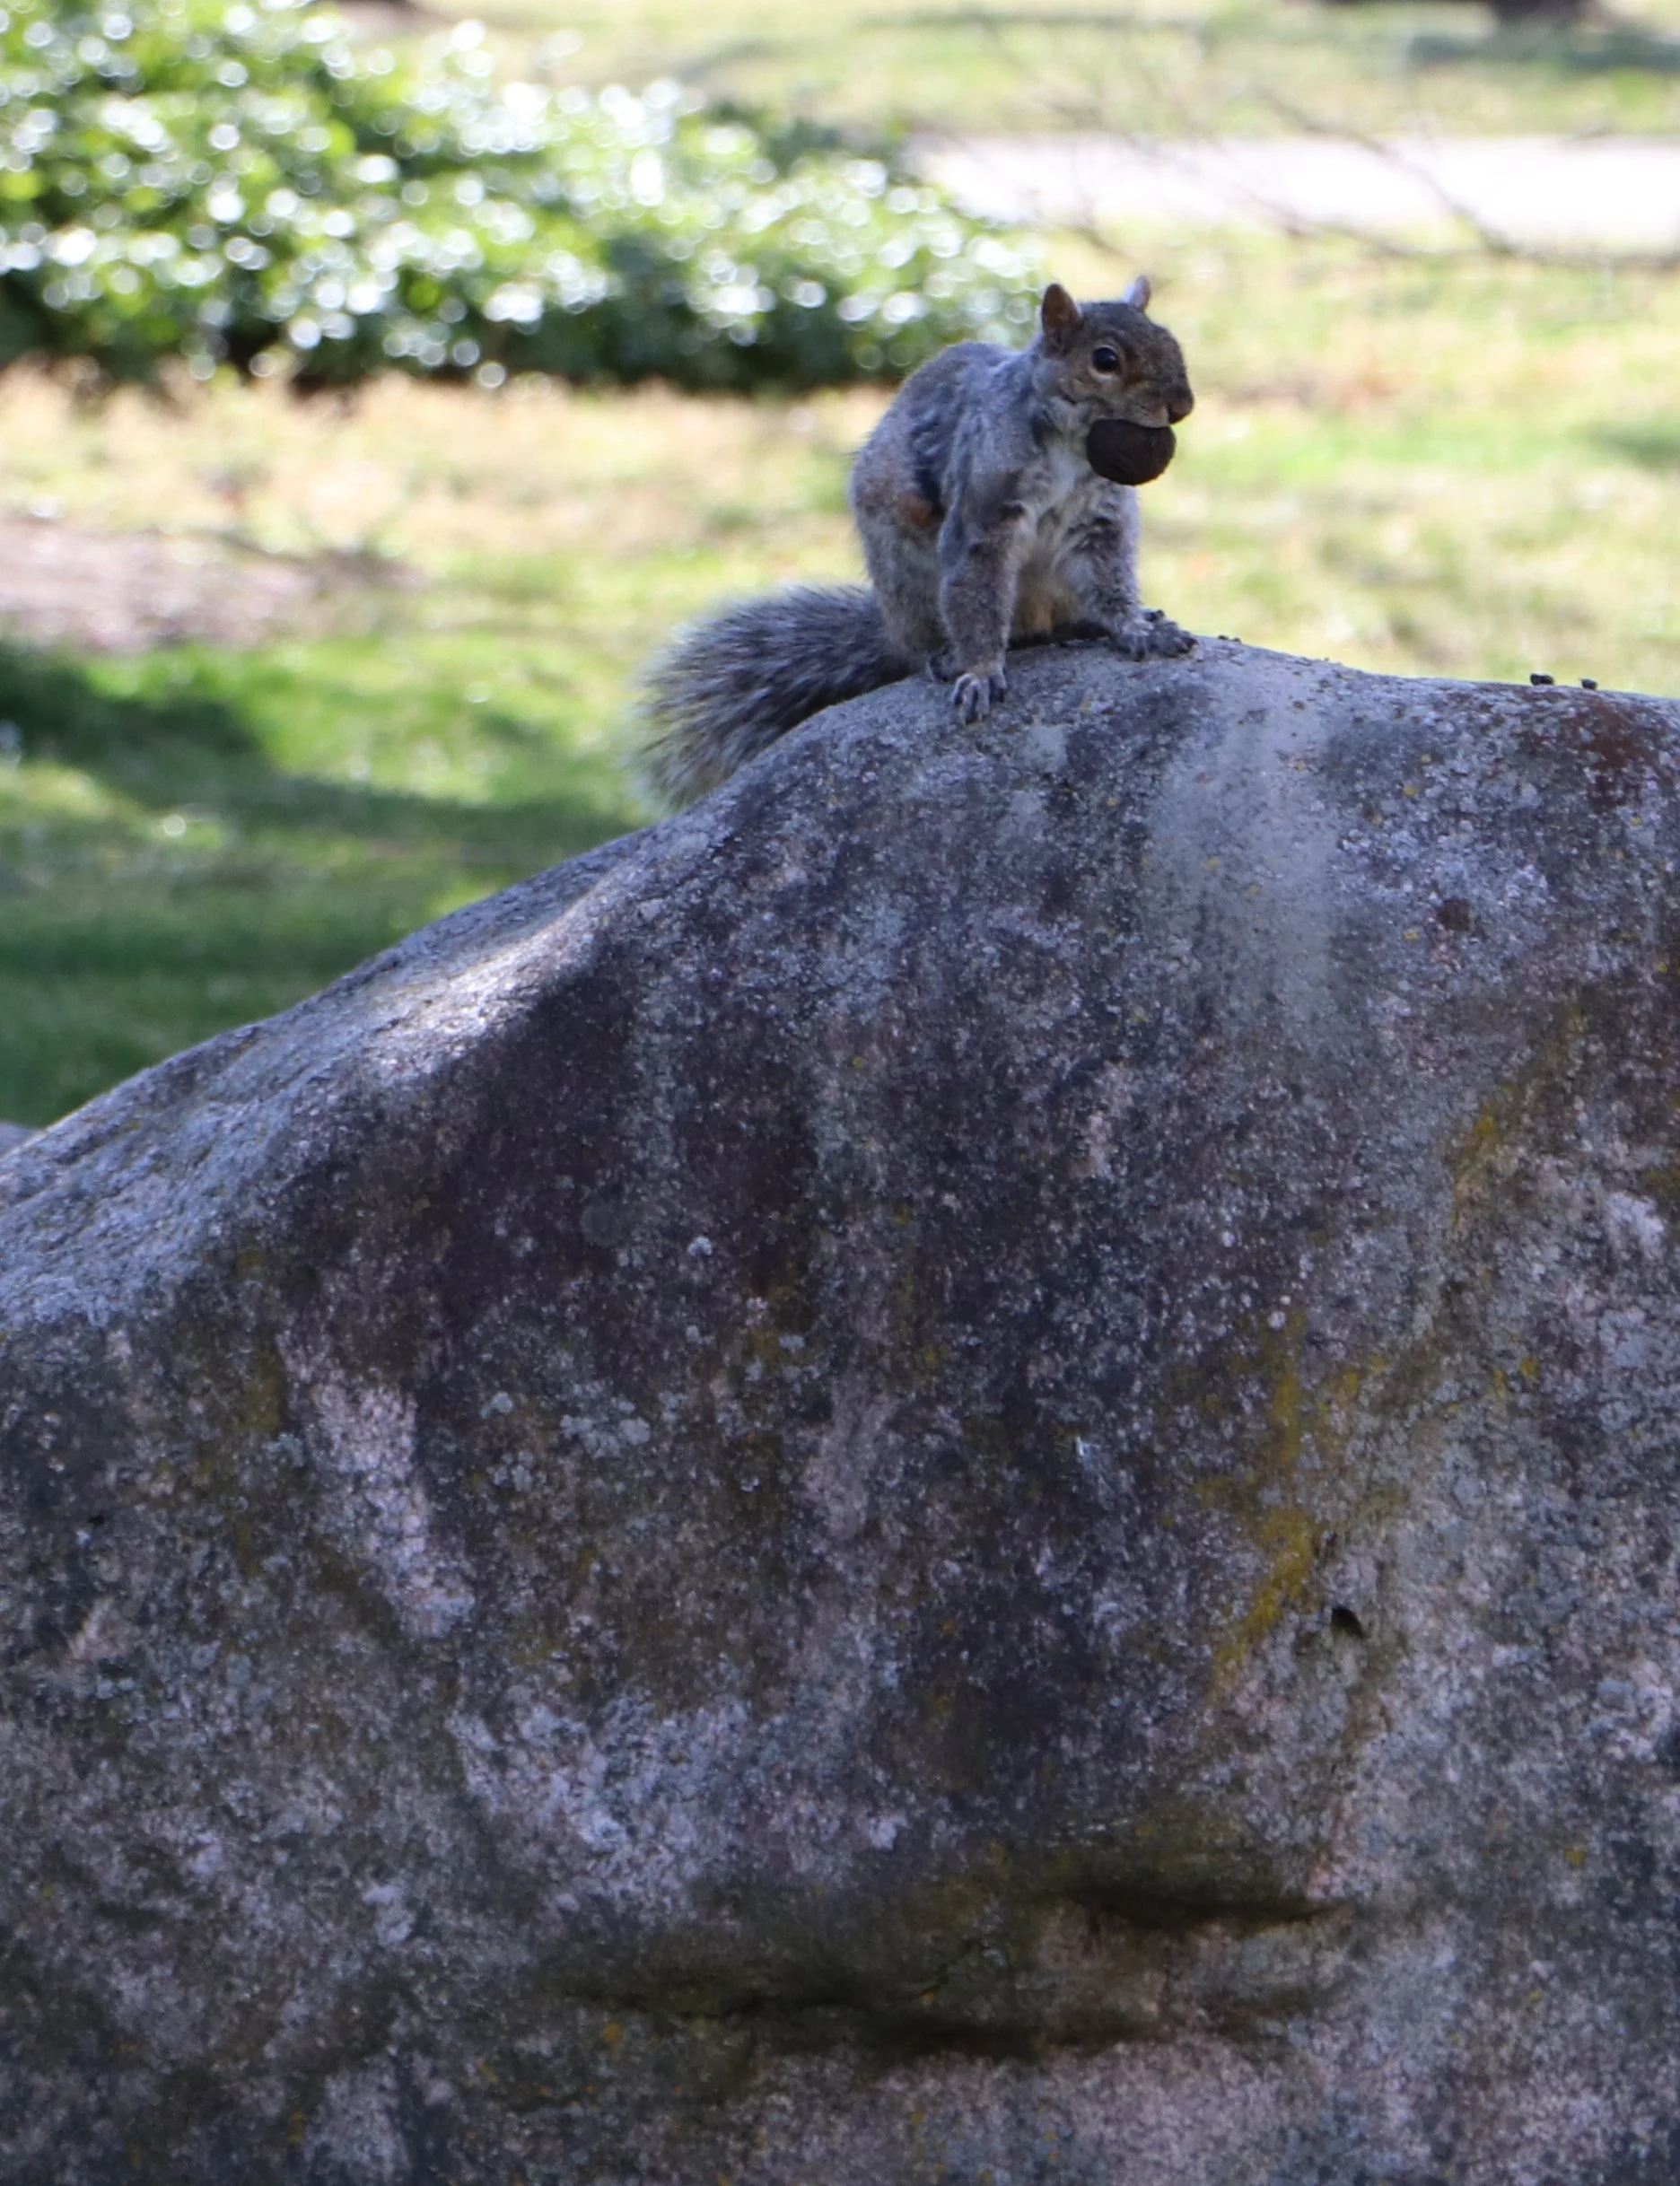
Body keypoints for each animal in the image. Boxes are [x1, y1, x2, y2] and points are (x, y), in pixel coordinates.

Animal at [641, 278, 1196, 808]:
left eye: (1170, 339)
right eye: (1105, 360)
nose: (1183, 406)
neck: (1073, 448)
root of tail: (892, 630)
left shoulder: (1101, 523)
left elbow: (1111, 580)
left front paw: (1136, 629)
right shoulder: (982, 511)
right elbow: (976, 594)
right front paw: (979, 672)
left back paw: (1087, 624)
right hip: (911, 582)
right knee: (954, 641)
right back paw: (947, 657)